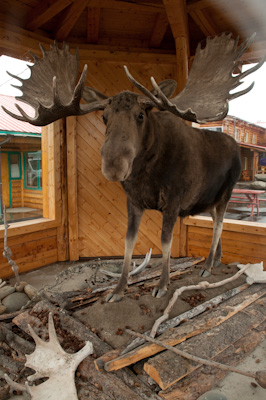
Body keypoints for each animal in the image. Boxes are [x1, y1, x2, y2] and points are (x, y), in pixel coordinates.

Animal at [3, 32, 264, 300]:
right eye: (104, 116)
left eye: (141, 115)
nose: (114, 165)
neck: (145, 175)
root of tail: (236, 147)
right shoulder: (134, 201)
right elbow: (128, 241)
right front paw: (119, 289)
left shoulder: (174, 200)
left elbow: (165, 241)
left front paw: (162, 284)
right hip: (209, 198)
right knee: (215, 223)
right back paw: (217, 258)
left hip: (227, 192)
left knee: (220, 224)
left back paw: (209, 264)